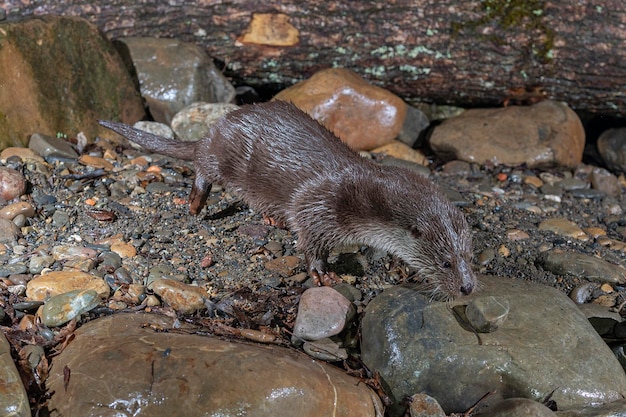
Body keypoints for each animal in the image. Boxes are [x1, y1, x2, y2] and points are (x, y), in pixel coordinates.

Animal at [100, 101, 476, 300]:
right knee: (203, 166)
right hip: (223, 155)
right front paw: (322, 274)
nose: (469, 288)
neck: (367, 196)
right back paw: (195, 202)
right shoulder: (319, 205)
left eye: (469, 257)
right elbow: (310, 239)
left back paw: (272, 219)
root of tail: (216, 128)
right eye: (445, 263)